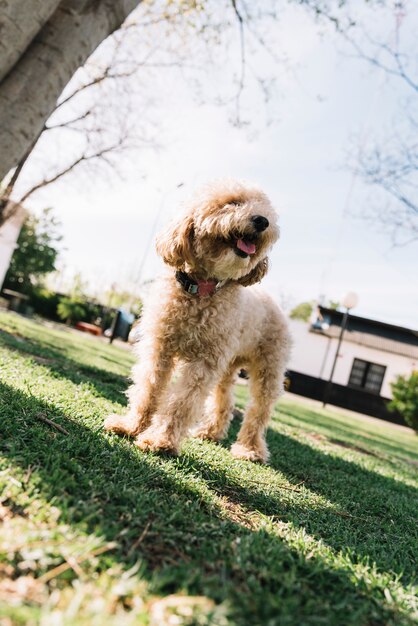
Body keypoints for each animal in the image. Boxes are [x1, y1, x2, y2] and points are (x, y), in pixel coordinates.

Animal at [104, 178, 290, 460]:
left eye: (264, 208)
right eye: (232, 203)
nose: (262, 221)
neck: (200, 289)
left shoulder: (205, 360)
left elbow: (183, 400)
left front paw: (160, 440)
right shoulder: (160, 347)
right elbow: (148, 388)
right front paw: (131, 426)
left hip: (268, 368)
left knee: (259, 410)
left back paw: (249, 449)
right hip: (228, 364)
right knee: (224, 399)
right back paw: (211, 432)